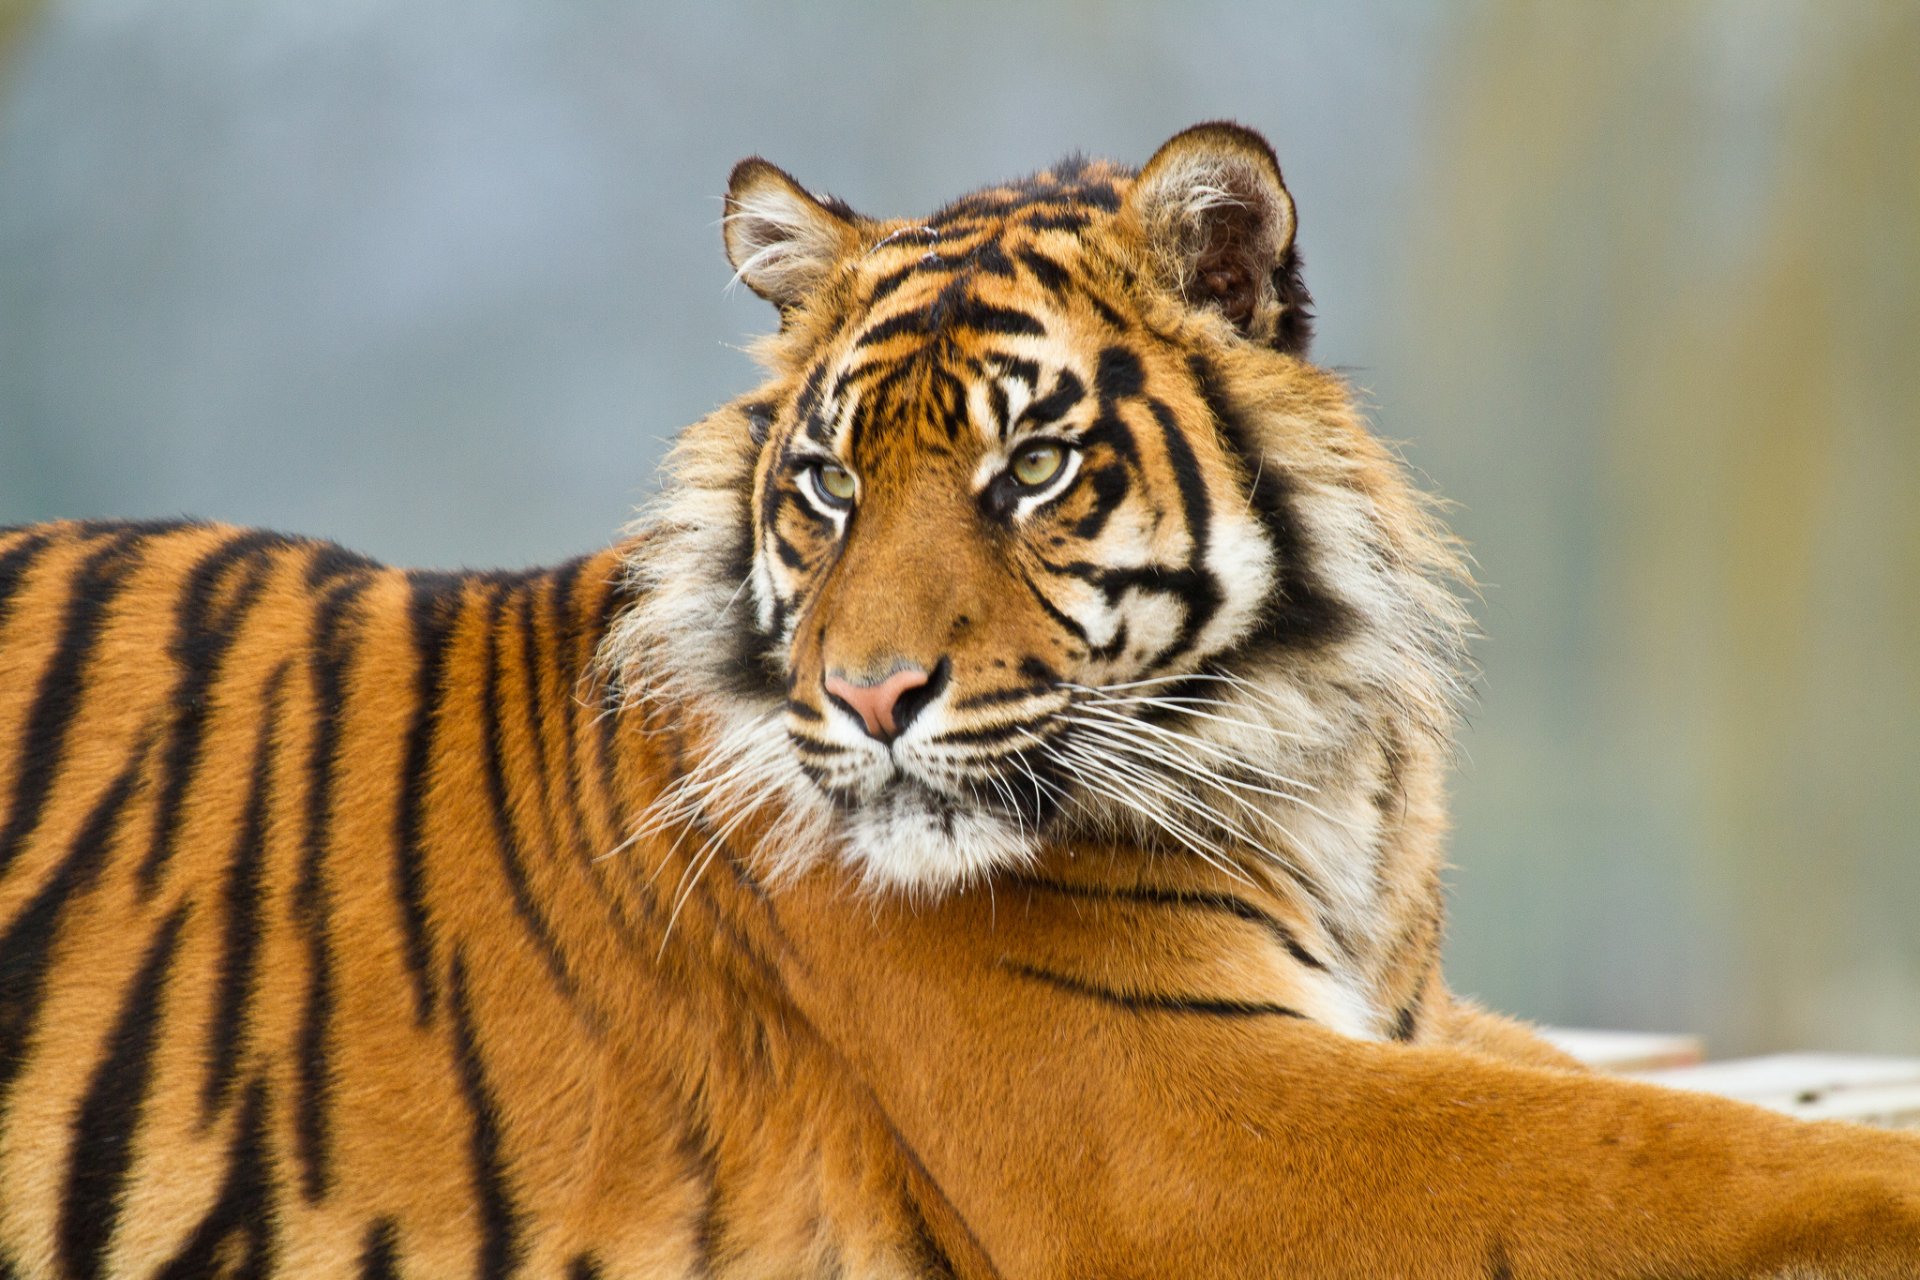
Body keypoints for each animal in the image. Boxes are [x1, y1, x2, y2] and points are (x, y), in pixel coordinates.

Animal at [1, 120, 1916, 1279]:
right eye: (831, 484)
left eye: (1033, 469)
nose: (868, 700)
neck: (1320, 774)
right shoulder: (1177, 1121)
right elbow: (1670, 1150)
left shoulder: (1393, 1019)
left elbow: (1689, 1107)